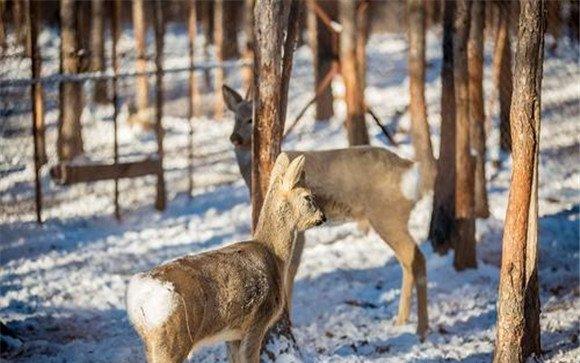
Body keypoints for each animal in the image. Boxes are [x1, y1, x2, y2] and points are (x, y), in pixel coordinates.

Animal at [127, 154, 326, 363]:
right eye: (308, 196)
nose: (322, 217)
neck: (274, 256)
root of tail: (139, 297)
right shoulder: (257, 321)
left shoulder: (233, 335)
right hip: (171, 338)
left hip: (152, 341)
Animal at [222, 84, 430, 340]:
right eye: (235, 117)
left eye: (251, 119)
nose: (235, 138)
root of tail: (410, 170)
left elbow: (292, 267)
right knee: (408, 260)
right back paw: (403, 321)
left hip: (387, 214)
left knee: (415, 258)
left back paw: (420, 327)